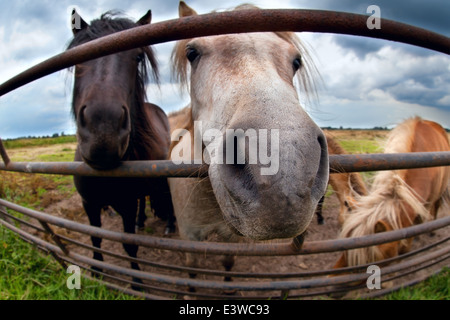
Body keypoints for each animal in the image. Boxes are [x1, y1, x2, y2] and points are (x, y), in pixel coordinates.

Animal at [68, 9, 174, 284]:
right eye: (78, 56)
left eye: (137, 57)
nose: (103, 130)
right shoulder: (89, 203)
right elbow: (96, 238)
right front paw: (96, 270)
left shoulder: (125, 205)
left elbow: (129, 246)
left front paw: (136, 282)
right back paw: (141, 221)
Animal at [167, 1, 328, 282]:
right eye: (192, 52)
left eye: (296, 61)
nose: (284, 181)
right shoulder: (189, 237)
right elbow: (192, 271)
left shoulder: (231, 238)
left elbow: (228, 262)